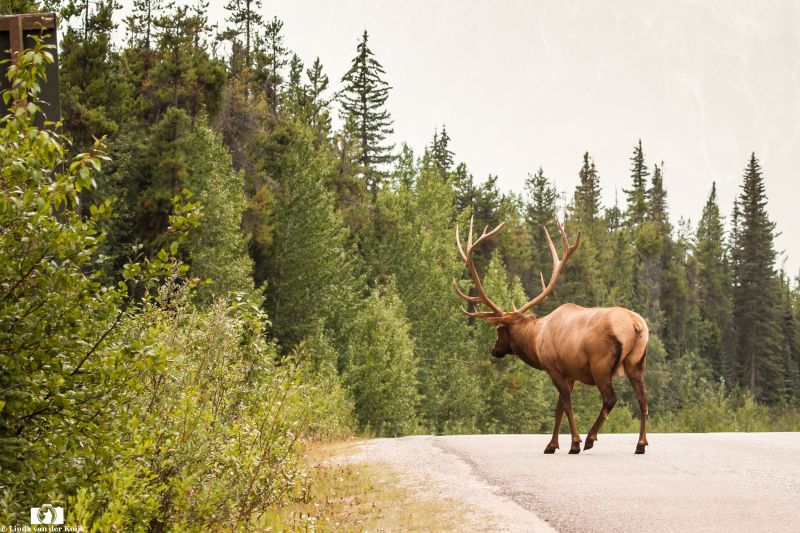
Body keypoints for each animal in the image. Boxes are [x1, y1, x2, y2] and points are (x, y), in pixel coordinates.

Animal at [453, 218, 650, 454]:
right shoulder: (570, 372)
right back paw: (641, 444)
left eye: (500, 330)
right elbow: (558, 410)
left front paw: (574, 443)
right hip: (636, 363)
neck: (536, 340)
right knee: (643, 398)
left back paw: (590, 438)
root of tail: (636, 325)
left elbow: (566, 405)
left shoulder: (553, 368)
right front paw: (552, 445)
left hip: (601, 364)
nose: (494, 350)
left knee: (610, 399)